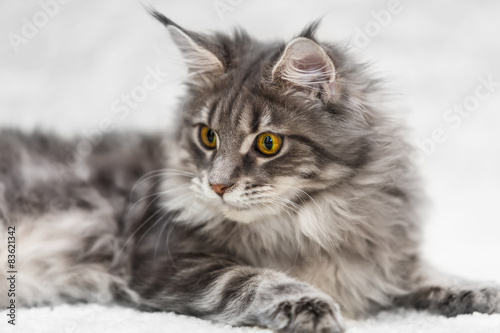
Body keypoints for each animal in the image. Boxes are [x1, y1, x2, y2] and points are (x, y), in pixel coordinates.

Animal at [0, 9, 498, 332]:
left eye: (268, 144)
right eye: (207, 137)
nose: (217, 185)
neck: (314, 220)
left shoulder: (381, 252)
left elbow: (425, 271)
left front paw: (477, 289)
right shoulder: (162, 257)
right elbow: (252, 278)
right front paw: (308, 304)